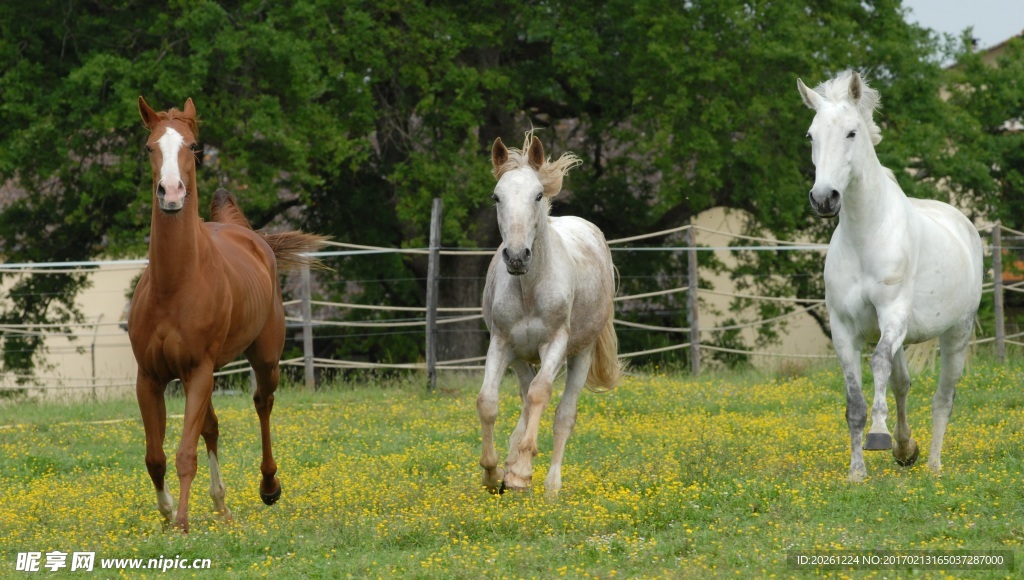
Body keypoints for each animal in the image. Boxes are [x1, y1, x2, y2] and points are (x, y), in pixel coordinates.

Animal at [130, 97, 323, 532]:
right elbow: (156, 457)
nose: (170, 193)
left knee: (262, 403)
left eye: (193, 147)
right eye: (150, 148)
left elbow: (185, 453)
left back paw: (268, 487)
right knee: (211, 427)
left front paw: (182, 522)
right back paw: (221, 504)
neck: (175, 285)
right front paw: (168, 513)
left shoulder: (199, 370)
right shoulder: (150, 378)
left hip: (264, 358)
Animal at [477, 135, 618, 495]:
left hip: (581, 353)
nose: (516, 256)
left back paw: (551, 485)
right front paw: (493, 473)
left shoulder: (555, 344)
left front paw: (522, 472)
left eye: (538, 195)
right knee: (526, 397)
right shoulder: (502, 344)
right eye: (496, 196)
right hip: (521, 358)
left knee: (563, 415)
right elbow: (488, 402)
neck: (530, 287)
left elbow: (542, 395)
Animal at [798, 71, 983, 481]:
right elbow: (855, 401)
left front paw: (879, 435)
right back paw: (906, 448)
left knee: (943, 398)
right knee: (902, 384)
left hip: (956, 334)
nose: (824, 198)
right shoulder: (843, 329)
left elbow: (878, 363)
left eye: (851, 132)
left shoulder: (893, 314)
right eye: (811, 135)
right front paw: (857, 471)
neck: (865, 236)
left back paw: (932, 465)